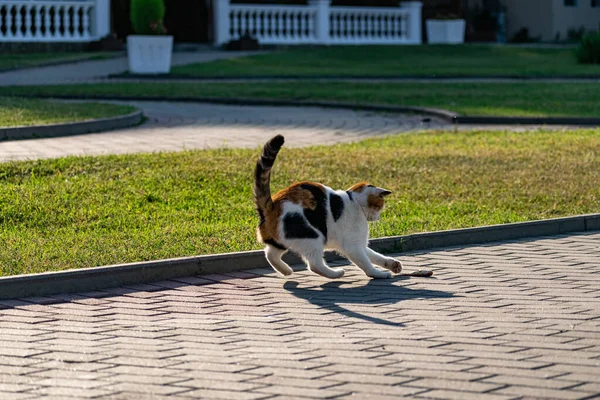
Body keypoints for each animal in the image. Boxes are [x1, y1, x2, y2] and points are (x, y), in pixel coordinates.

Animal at [253, 134, 404, 278]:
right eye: (380, 206)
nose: (378, 217)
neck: (354, 201)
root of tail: (271, 206)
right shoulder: (353, 246)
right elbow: (366, 263)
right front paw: (378, 274)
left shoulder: (359, 244)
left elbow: (374, 256)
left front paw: (392, 264)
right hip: (313, 237)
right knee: (314, 265)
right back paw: (335, 273)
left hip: (280, 242)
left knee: (270, 254)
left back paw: (286, 271)